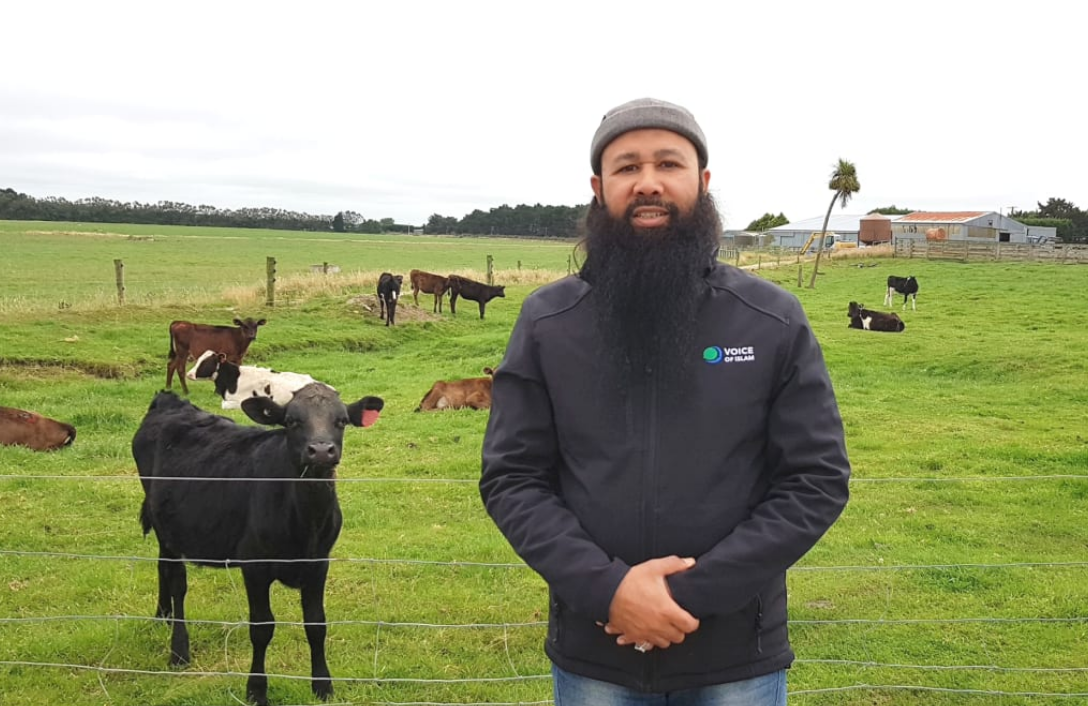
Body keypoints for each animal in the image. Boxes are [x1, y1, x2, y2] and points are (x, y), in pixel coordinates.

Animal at [132, 385, 382, 704]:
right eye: (291, 421)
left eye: (341, 421)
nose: (321, 450)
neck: (306, 522)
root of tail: (169, 400)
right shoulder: (254, 566)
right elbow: (262, 628)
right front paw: (256, 689)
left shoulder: (318, 562)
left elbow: (316, 624)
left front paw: (323, 685)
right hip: (168, 529)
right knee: (177, 581)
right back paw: (178, 651)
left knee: (162, 566)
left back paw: (162, 615)